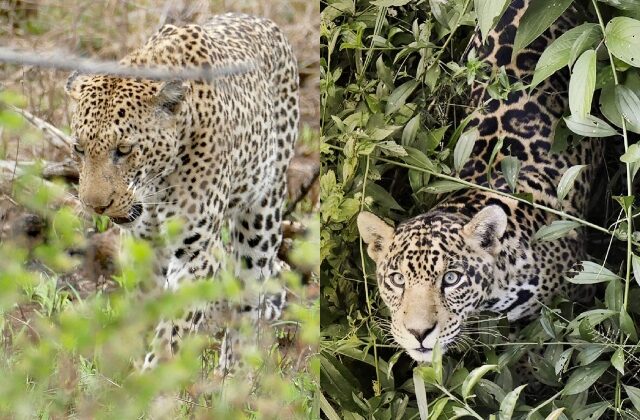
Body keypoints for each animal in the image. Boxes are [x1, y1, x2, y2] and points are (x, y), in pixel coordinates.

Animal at [64, 13, 299, 371]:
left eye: (124, 149)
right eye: (79, 148)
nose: (95, 206)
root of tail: (258, 19)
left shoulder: (196, 254)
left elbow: (173, 330)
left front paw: (152, 376)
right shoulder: (144, 248)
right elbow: (146, 309)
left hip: (263, 211)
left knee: (248, 298)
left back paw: (234, 375)